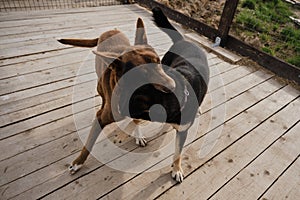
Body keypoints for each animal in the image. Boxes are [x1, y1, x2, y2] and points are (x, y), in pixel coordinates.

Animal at [58, 18, 176, 173]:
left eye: (159, 62)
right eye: (143, 74)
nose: (173, 86)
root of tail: (109, 31)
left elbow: (137, 120)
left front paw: (138, 134)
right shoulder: (101, 118)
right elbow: (89, 143)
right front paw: (78, 162)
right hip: (100, 82)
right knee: (102, 94)